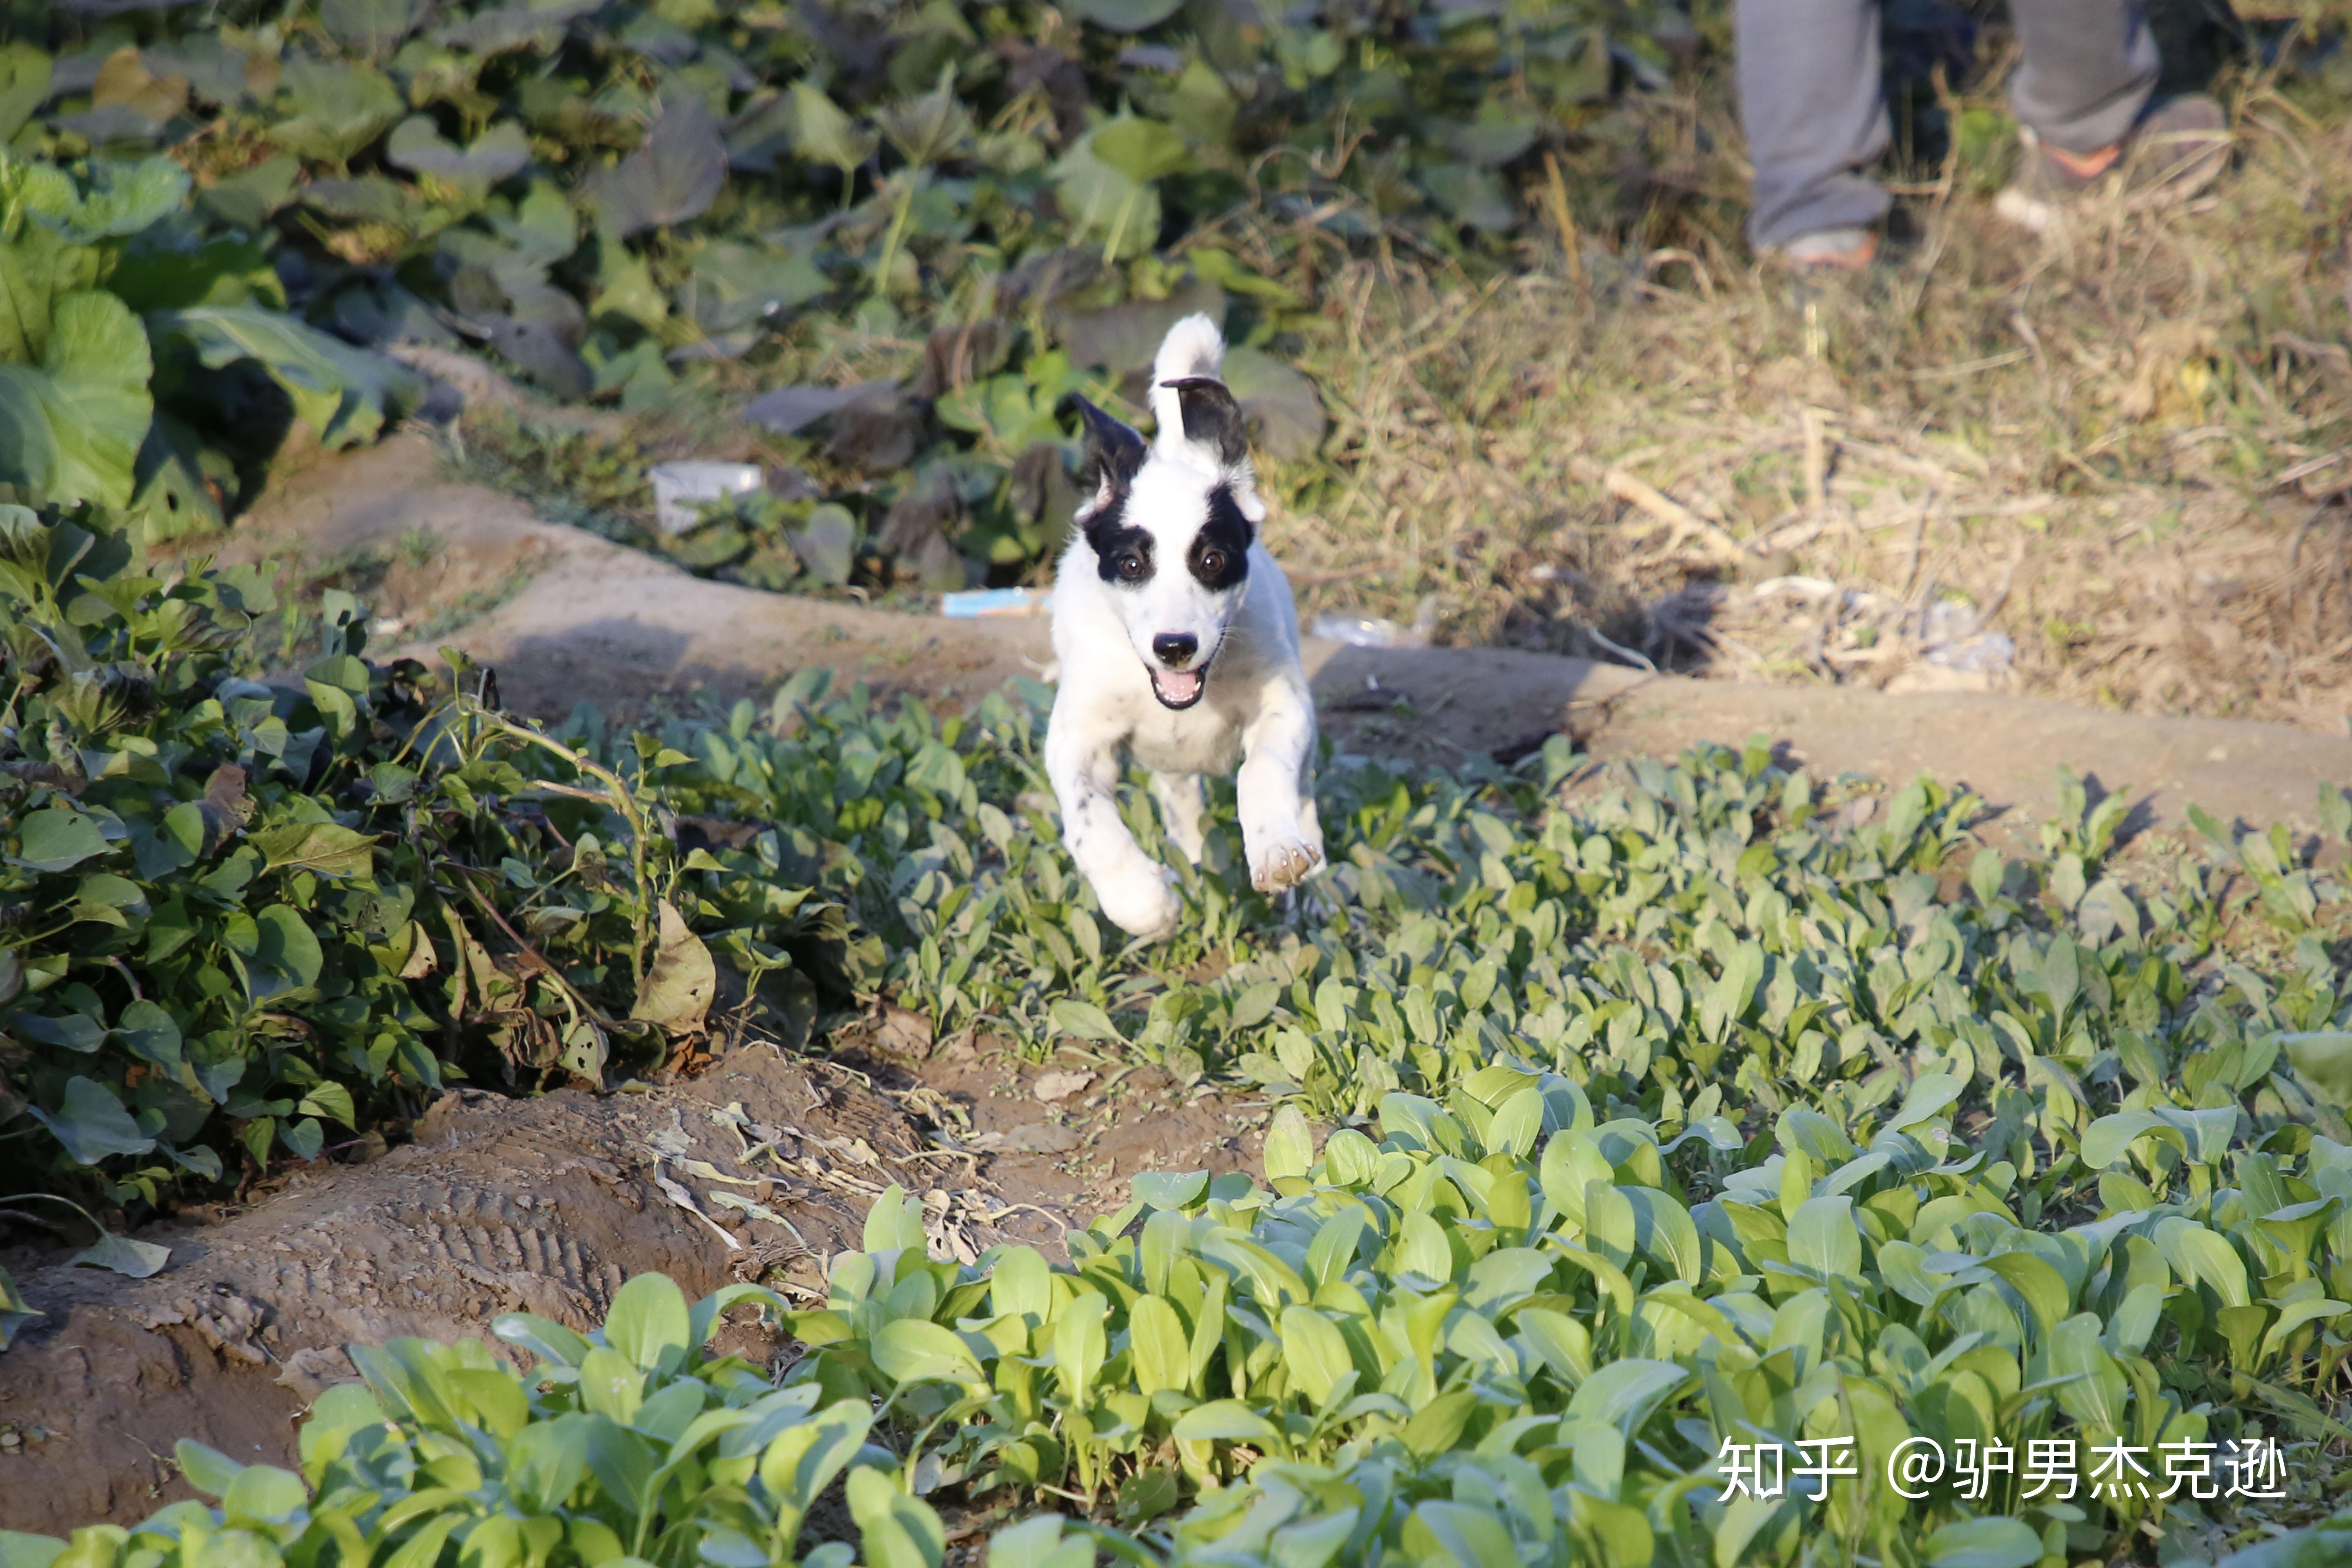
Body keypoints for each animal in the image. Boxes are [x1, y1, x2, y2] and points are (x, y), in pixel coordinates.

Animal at [1049, 312, 1326, 940]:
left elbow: (1260, 772)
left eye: (1212, 561)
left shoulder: (1285, 707)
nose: (1175, 647)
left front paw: (1276, 850)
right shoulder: (1076, 738)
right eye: (1131, 565)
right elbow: (1090, 822)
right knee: (1184, 813)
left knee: (1301, 795)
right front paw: (1143, 900)